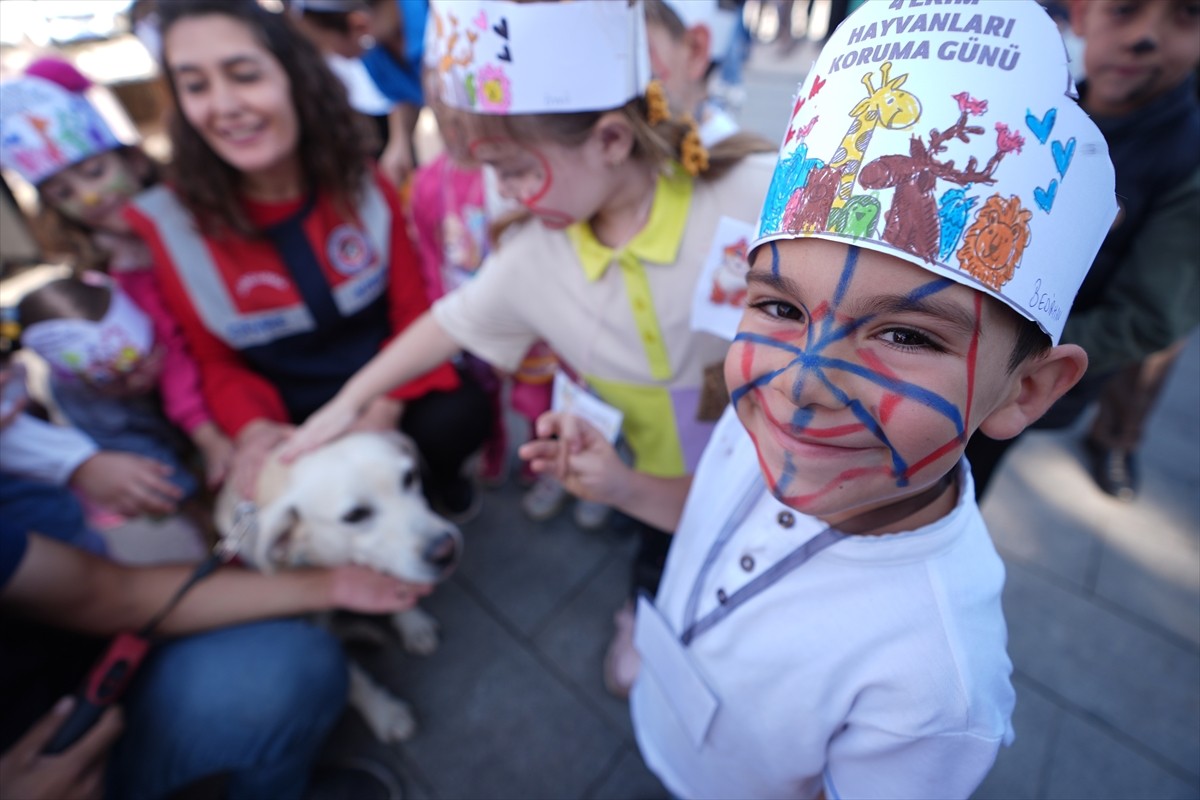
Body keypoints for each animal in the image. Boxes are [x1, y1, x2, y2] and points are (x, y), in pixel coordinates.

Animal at [213, 431, 460, 743]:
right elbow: (351, 677)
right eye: (355, 516)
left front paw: (412, 622)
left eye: (409, 477)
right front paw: (384, 712)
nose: (446, 550)